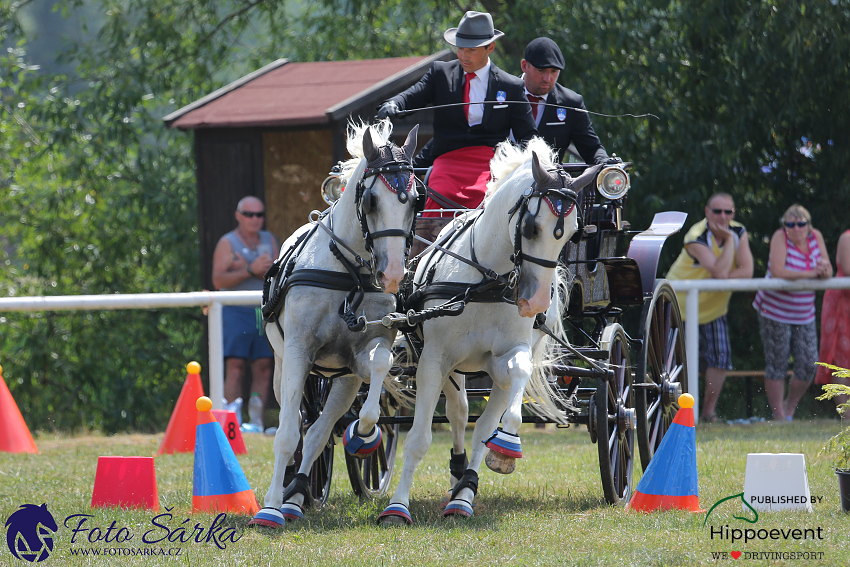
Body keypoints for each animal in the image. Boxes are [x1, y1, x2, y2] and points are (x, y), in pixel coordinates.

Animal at [248, 120, 420, 528]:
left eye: (415, 200)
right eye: (371, 201)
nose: (393, 274)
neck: (348, 274)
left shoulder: (360, 358)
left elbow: (378, 373)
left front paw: (365, 434)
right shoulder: (298, 353)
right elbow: (286, 434)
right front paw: (269, 508)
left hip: (341, 382)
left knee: (319, 431)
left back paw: (298, 496)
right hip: (285, 368)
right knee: (300, 425)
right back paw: (287, 494)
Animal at [378, 139, 596, 528]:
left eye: (573, 232)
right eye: (531, 226)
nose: (535, 303)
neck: (486, 282)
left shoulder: (507, 357)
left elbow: (497, 413)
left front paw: (503, 450)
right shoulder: (434, 360)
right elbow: (419, 438)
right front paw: (397, 507)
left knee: (474, 422)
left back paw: (463, 491)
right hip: (449, 366)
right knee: (459, 412)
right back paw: (455, 474)